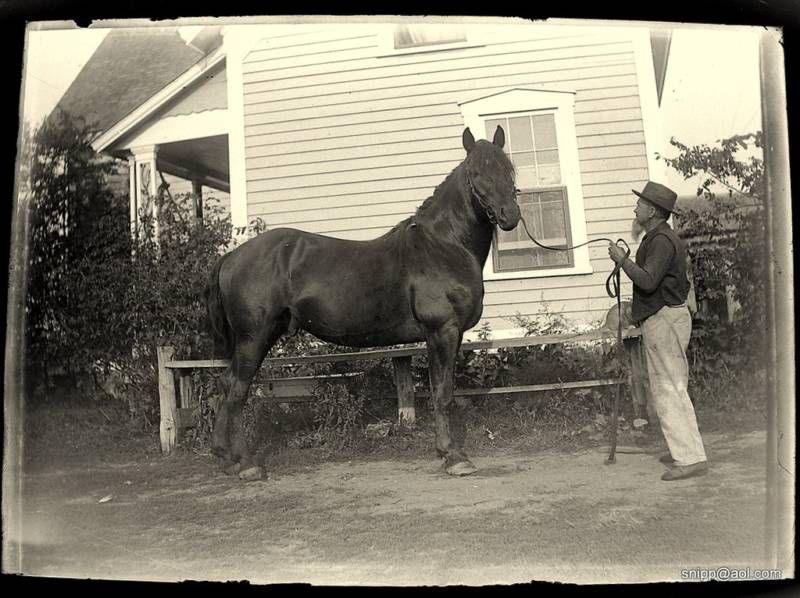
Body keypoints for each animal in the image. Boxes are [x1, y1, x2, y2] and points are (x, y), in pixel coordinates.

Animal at [203, 127, 520, 482]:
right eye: (475, 174)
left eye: (509, 169)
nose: (510, 216)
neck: (442, 247)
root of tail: (232, 256)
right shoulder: (442, 332)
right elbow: (443, 393)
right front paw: (452, 456)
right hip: (253, 338)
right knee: (237, 390)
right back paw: (247, 464)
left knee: (226, 384)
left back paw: (226, 457)